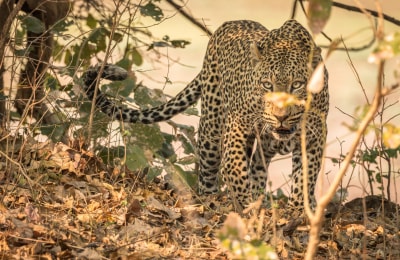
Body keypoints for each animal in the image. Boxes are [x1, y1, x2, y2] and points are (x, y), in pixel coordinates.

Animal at [81, 19, 328, 212]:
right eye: (267, 85)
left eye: (297, 85)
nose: (281, 117)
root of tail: (229, 24)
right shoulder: (237, 124)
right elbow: (235, 169)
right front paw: (245, 208)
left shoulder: (315, 134)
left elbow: (306, 176)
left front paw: (298, 210)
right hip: (212, 127)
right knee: (208, 172)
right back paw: (211, 200)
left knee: (258, 167)